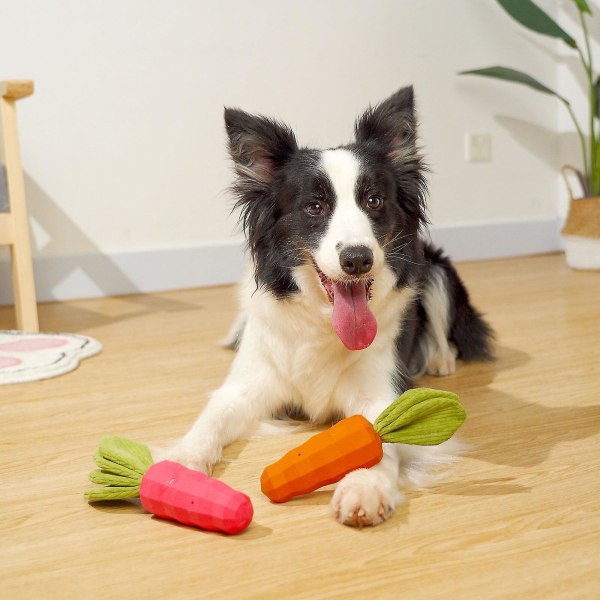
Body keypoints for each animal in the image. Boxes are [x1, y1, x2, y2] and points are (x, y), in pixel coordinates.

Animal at [159, 86, 492, 528]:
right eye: (314, 207)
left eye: (374, 200)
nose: (357, 259)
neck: (321, 323)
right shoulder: (247, 385)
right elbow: (209, 420)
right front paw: (178, 462)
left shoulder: (381, 390)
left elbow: (379, 437)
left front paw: (365, 489)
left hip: (436, 271)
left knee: (444, 332)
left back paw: (440, 360)